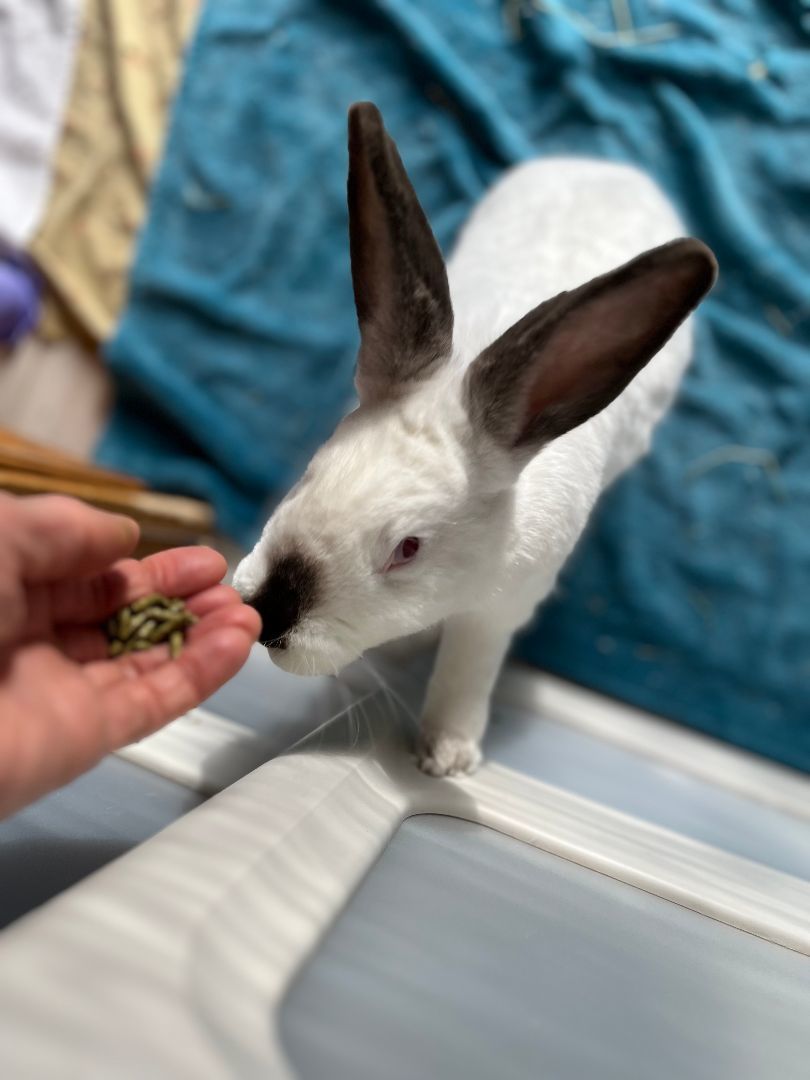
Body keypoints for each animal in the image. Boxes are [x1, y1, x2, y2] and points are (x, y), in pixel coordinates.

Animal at [232, 101, 717, 778]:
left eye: (408, 548)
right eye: (312, 472)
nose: (267, 614)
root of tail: (614, 168)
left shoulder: (502, 611)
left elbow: (467, 671)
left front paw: (446, 758)